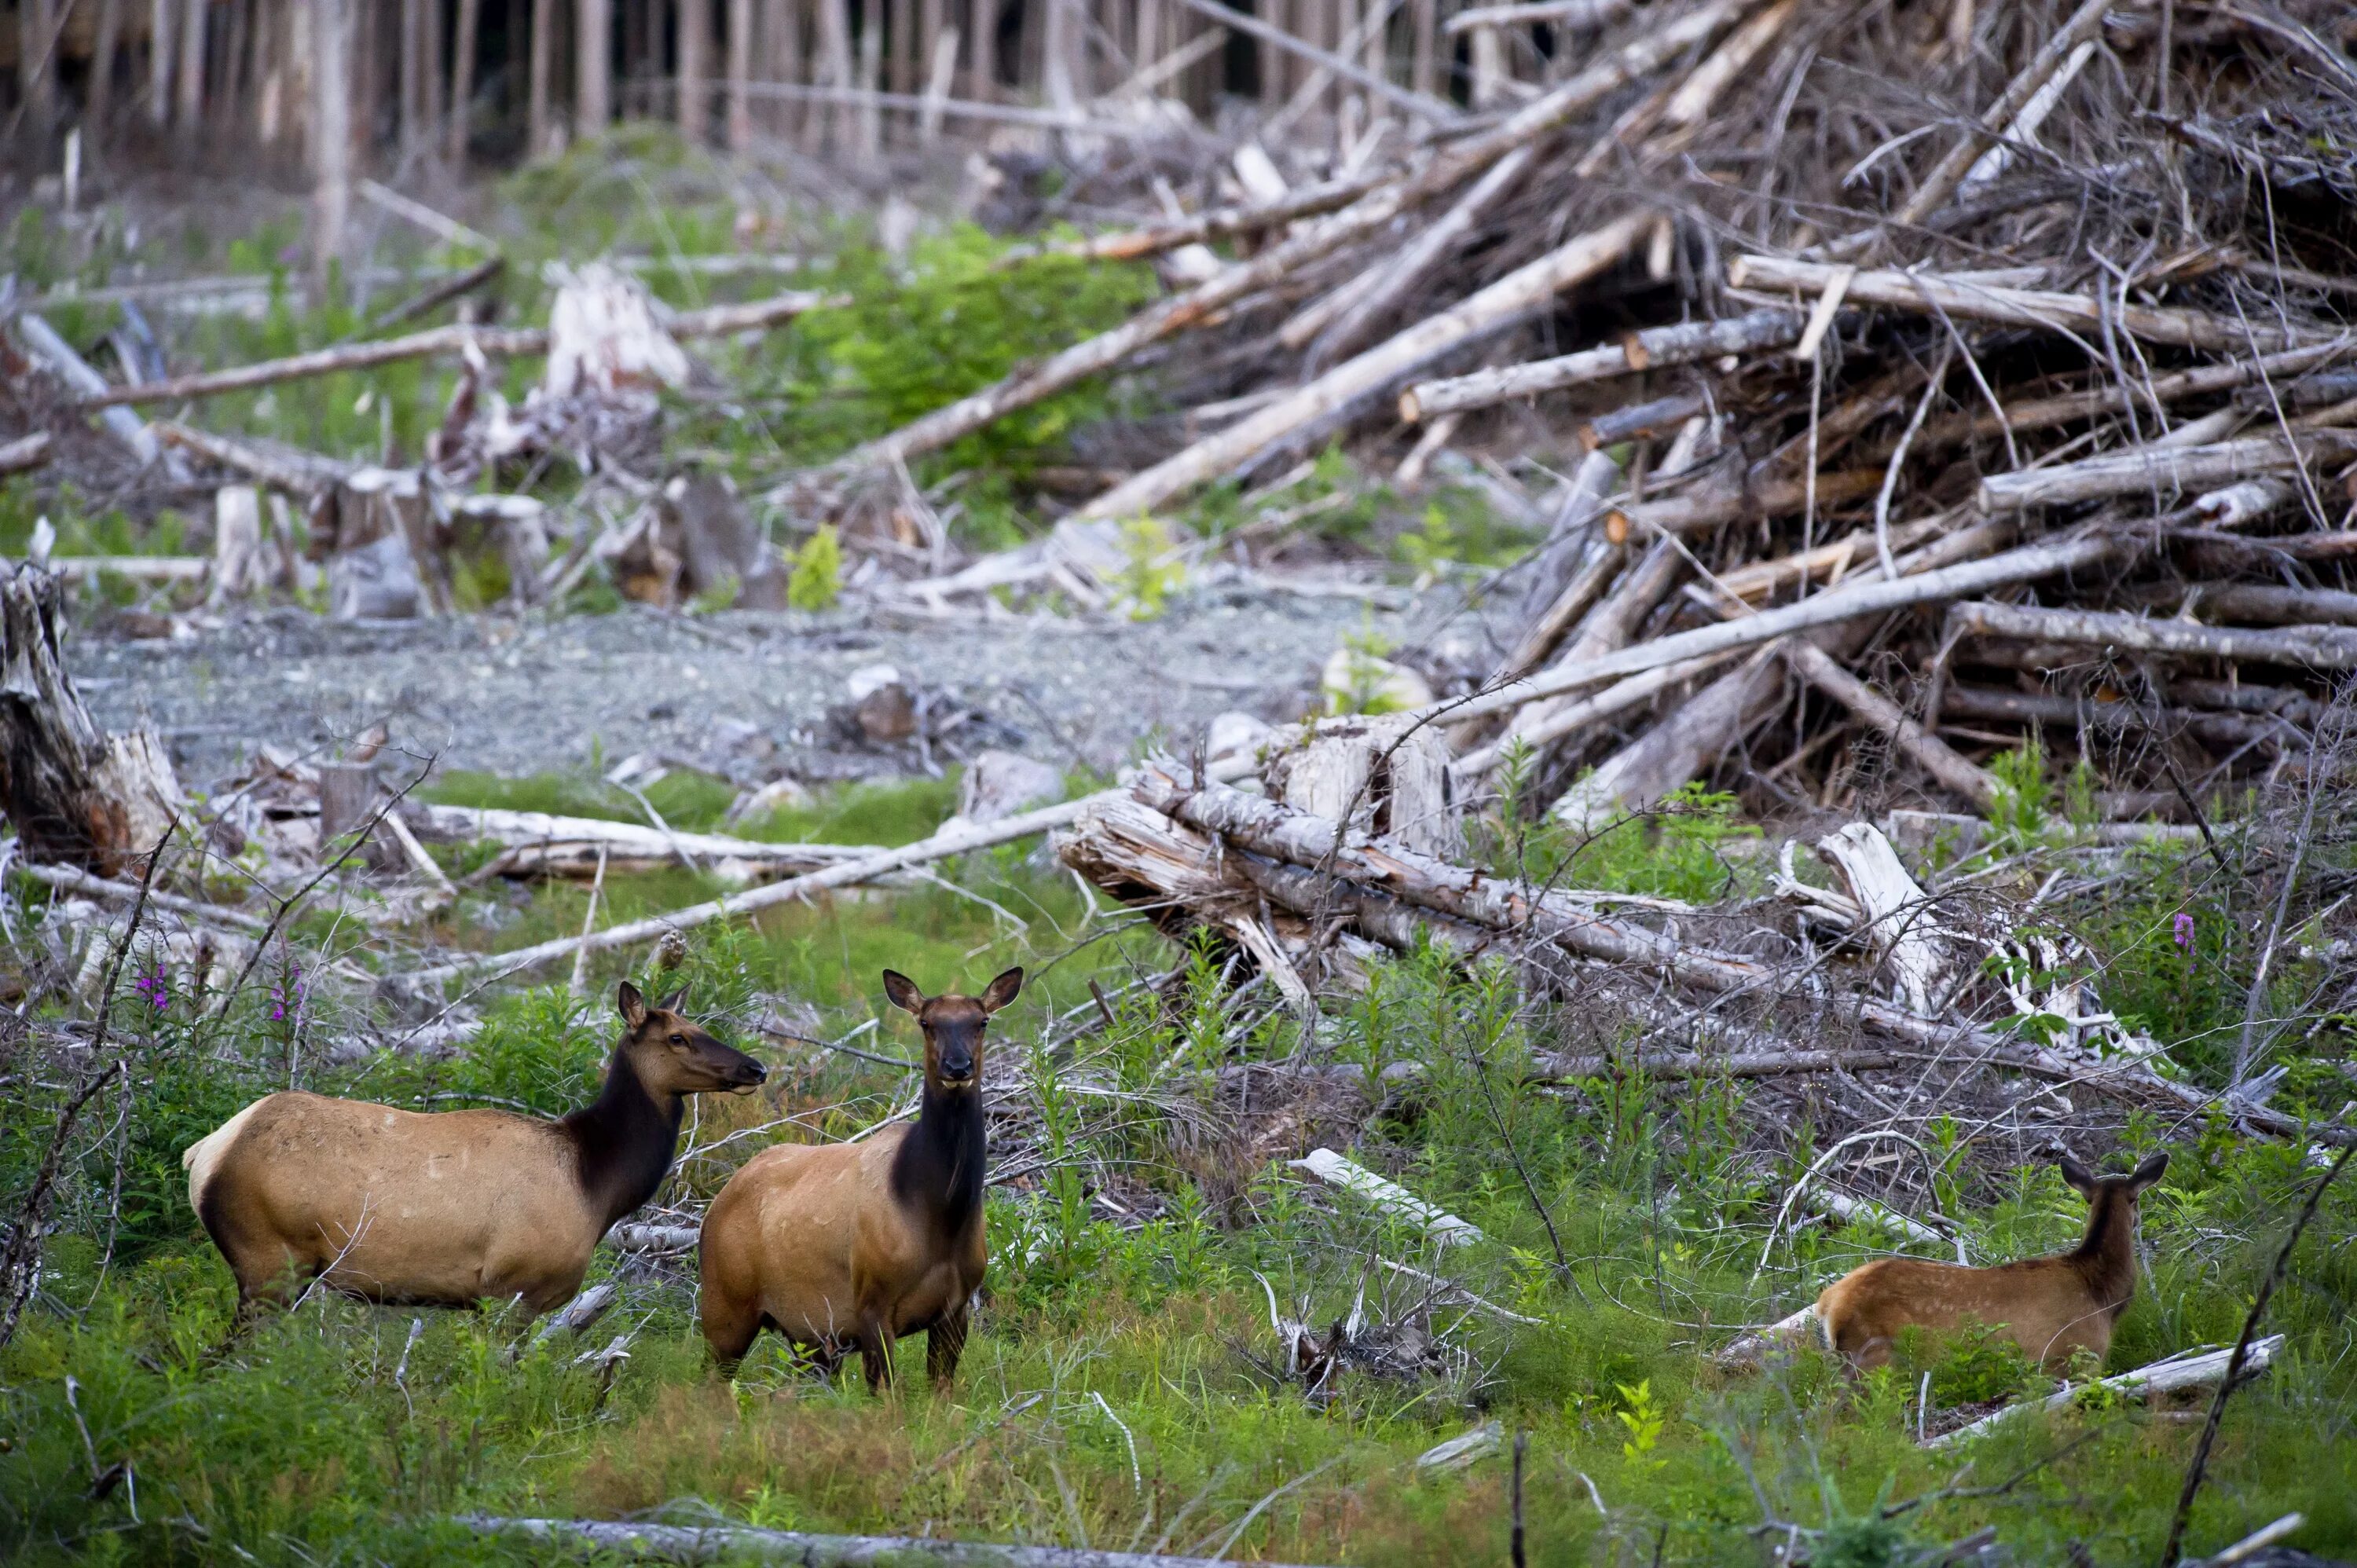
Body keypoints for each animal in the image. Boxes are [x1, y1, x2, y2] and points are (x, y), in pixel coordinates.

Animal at [192, 985, 768, 1329]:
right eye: (678, 1037)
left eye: (703, 1028)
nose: (755, 1068)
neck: (597, 1183)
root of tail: (202, 1154)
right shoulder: (512, 1288)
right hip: (267, 1259)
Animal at [693, 962, 1018, 1386]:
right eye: (926, 1022)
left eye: (982, 1021)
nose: (958, 1066)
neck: (939, 1213)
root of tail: (713, 1208)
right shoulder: (871, 1303)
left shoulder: (956, 1309)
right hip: (725, 1307)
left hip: (810, 1336)